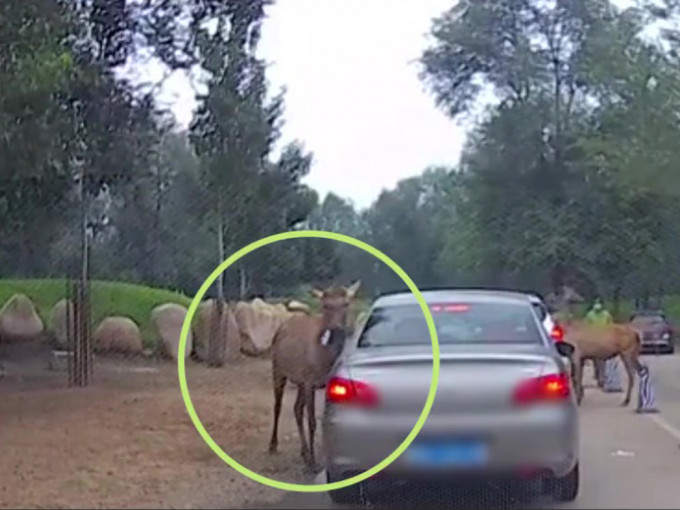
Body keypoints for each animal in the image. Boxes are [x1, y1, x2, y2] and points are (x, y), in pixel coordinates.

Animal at [266, 280, 362, 472]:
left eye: (346, 303)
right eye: (326, 305)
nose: (337, 329)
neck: (325, 361)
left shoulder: (318, 383)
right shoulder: (309, 381)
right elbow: (312, 421)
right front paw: (313, 462)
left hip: (299, 381)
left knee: (296, 408)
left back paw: (303, 452)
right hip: (278, 369)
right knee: (278, 406)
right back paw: (273, 445)